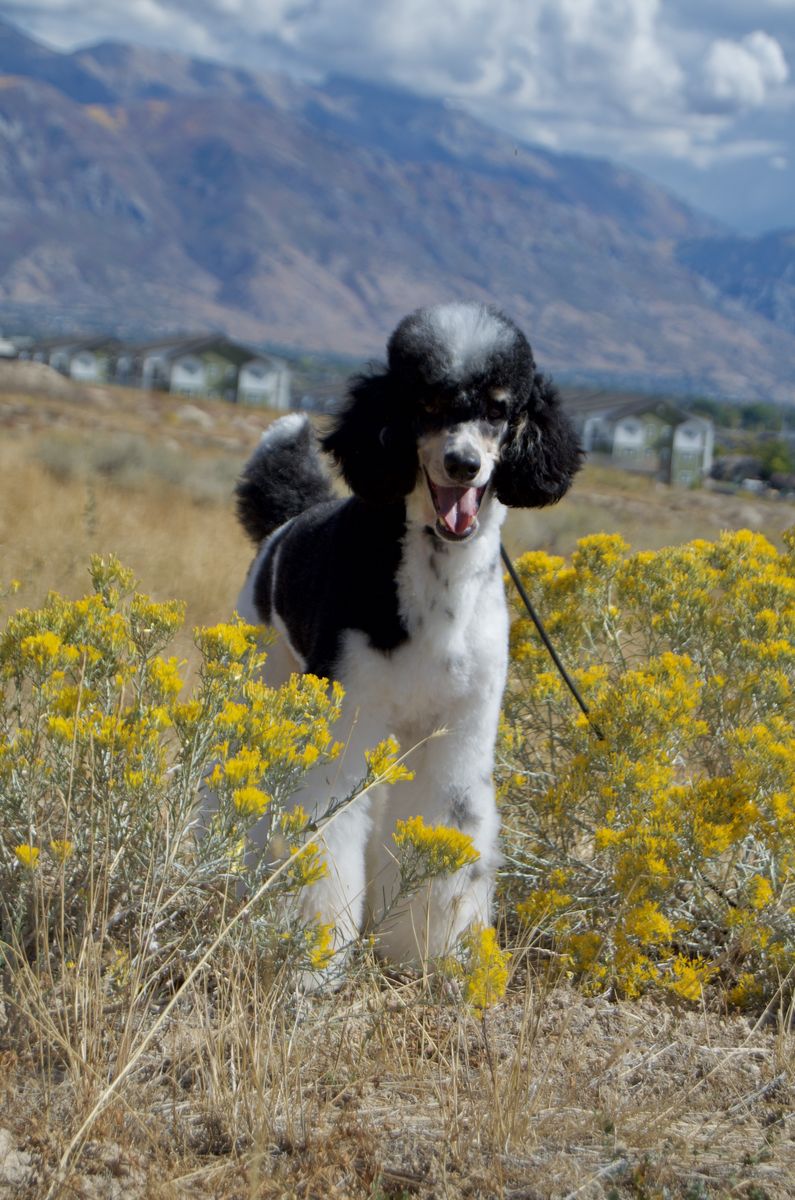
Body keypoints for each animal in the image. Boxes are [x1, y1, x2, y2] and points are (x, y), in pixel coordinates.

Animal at [233, 302, 582, 972]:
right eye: (425, 402)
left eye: (500, 408)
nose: (463, 464)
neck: (436, 584)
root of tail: (288, 521)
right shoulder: (346, 723)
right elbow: (325, 833)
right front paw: (315, 964)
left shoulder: (456, 735)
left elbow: (445, 826)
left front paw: (429, 955)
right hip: (269, 677)